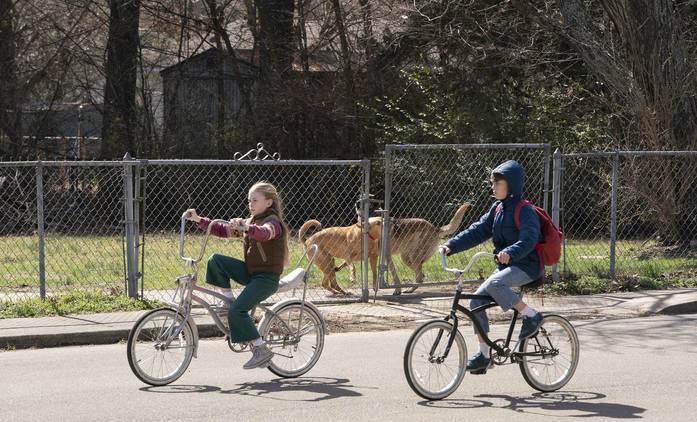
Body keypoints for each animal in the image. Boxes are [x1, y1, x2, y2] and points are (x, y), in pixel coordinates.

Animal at [338, 203, 468, 296]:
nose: (356, 204)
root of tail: (435, 228)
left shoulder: (386, 255)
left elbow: (394, 274)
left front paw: (397, 290)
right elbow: (346, 262)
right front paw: (337, 269)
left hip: (411, 258)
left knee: (419, 276)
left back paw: (409, 290)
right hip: (406, 258)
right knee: (421, 275)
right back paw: (411, 289)